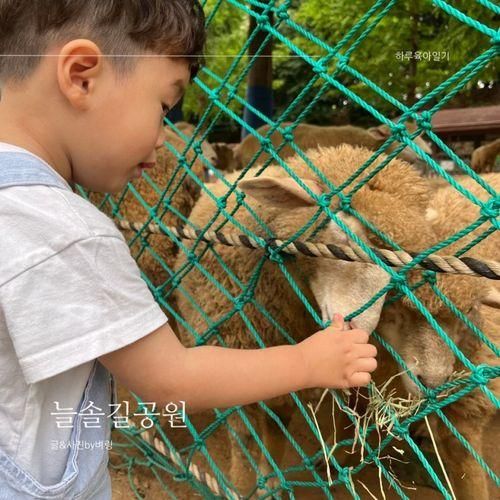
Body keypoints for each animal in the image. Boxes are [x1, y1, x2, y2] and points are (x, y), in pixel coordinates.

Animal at [171, 144, 434, 492]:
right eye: (342, 237)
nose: (355, 331)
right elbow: (244, 442)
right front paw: (243, 486)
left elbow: (277, 432)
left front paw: (270, 479)